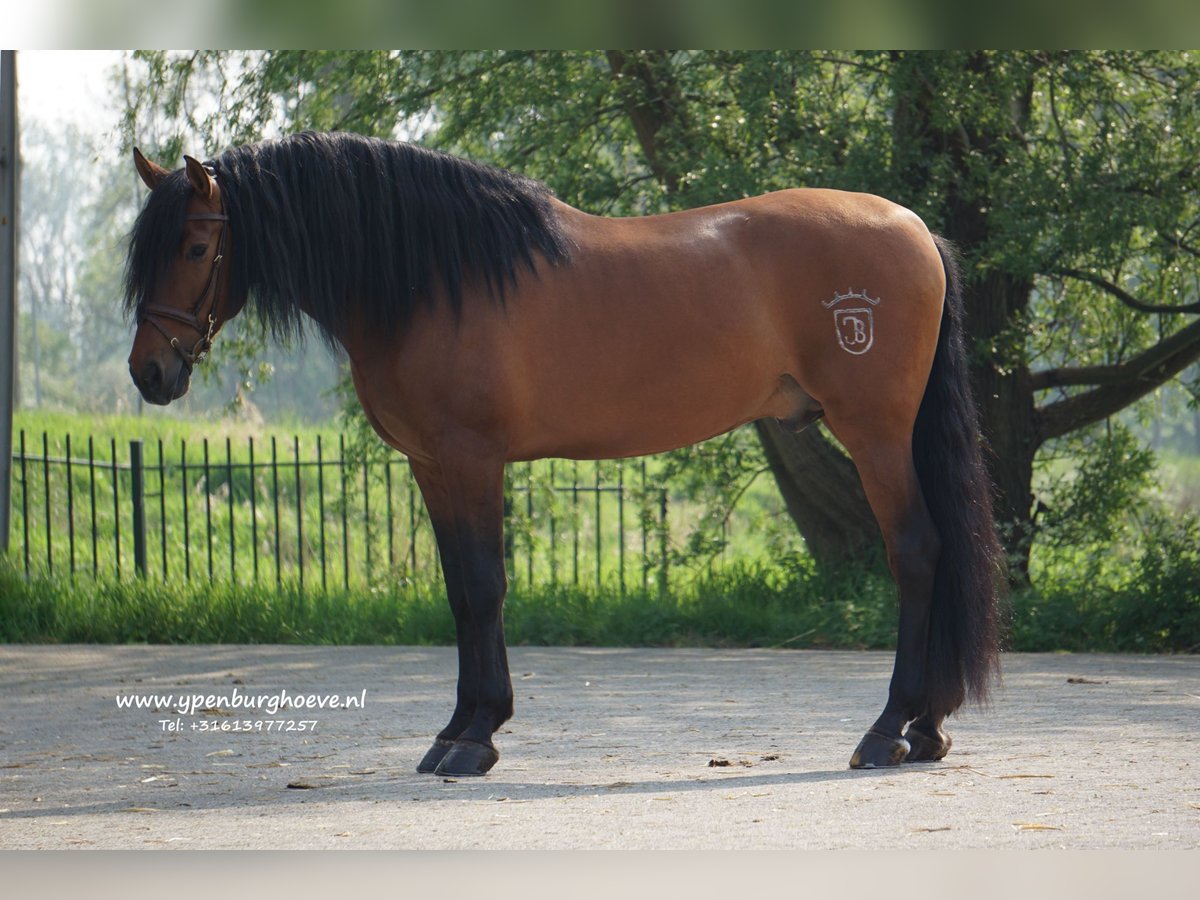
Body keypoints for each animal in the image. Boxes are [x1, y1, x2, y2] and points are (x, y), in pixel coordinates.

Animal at [124, 130, 1003, 777]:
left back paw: (889, 730)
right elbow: (460, 592)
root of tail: (915, 228)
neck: (433, 279)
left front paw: (475, 739)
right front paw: (456, 729)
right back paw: (927, 730)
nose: (149, 373)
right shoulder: (432, 467)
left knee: (916, 551)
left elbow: (484, 588)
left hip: (874, 431)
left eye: (197, 249)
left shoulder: (472, 459)